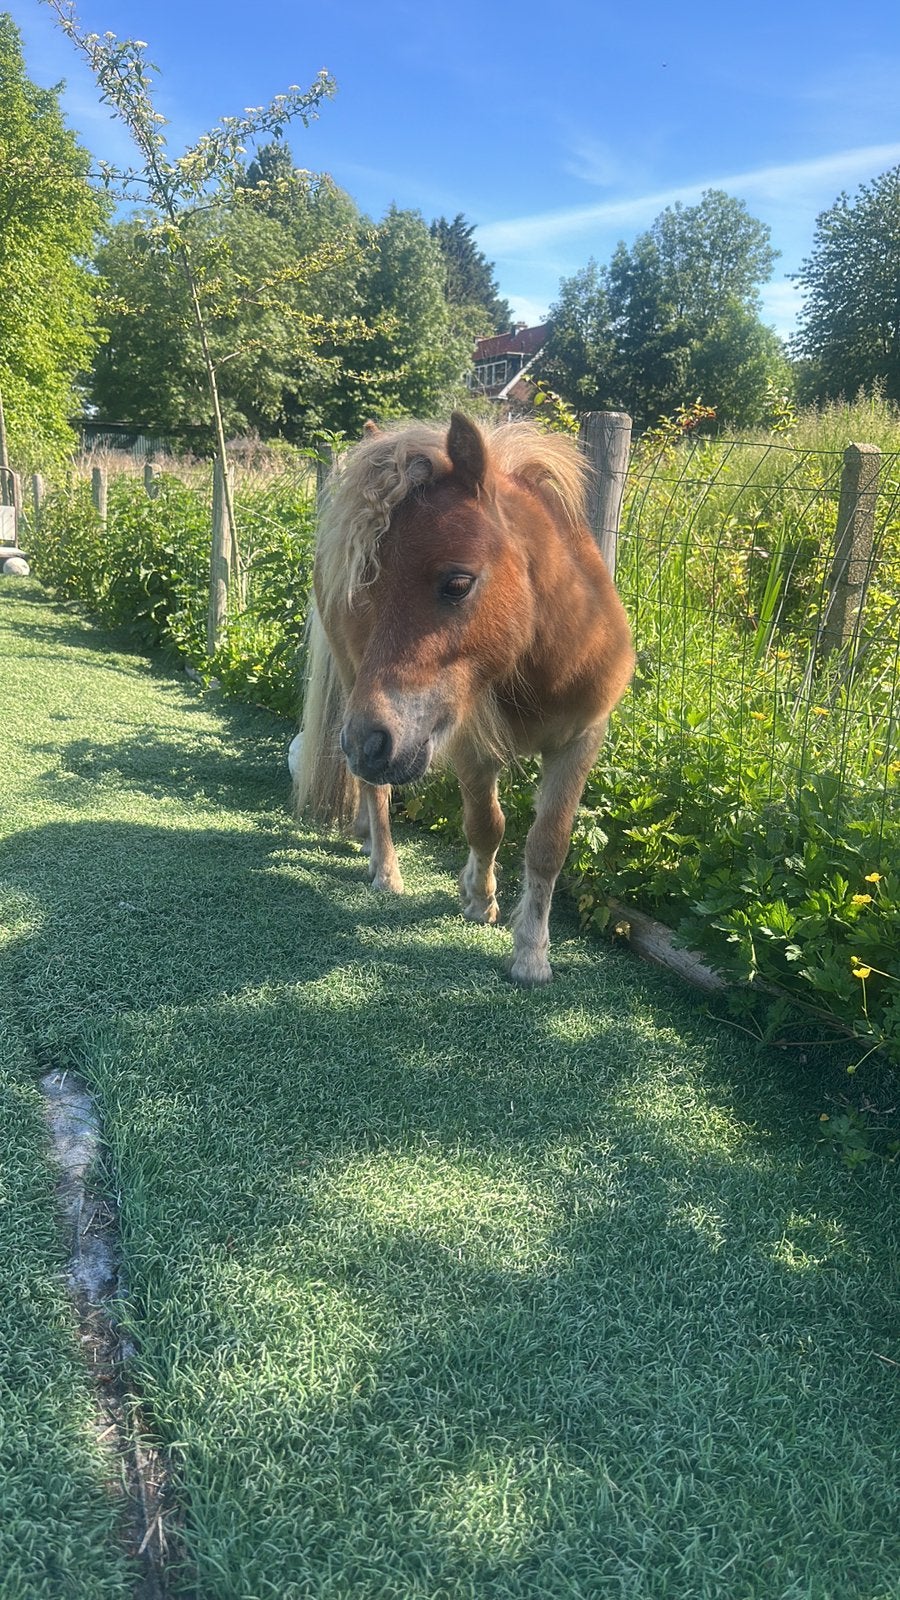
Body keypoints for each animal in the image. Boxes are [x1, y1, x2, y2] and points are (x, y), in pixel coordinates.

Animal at [294, 411, 633, 985]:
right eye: (366, 588)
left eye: (457, 583)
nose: (368, 742)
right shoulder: (470, 746)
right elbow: (486, 825)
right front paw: (480, 899)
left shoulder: (581, 741)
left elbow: (548, 844)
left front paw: (531, 953)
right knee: (376, 791)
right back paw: (385, 868)